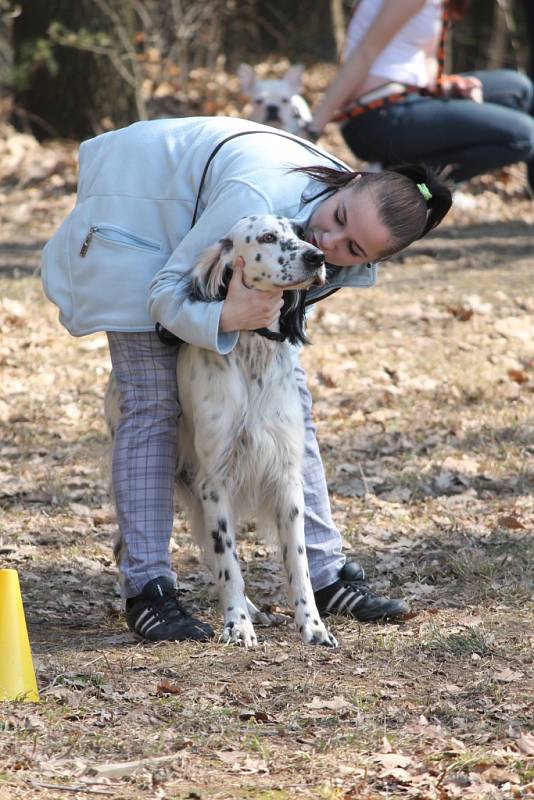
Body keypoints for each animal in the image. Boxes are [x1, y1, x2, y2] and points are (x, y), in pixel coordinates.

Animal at [106, 214, 338, 648]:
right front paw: (237, 626)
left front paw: (312, 627)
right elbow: (229, 562)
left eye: (299, 232)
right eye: (268, 236)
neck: (251, 357)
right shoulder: (214, 482)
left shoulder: (286, 478)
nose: (317, 257)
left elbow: (298, 563)